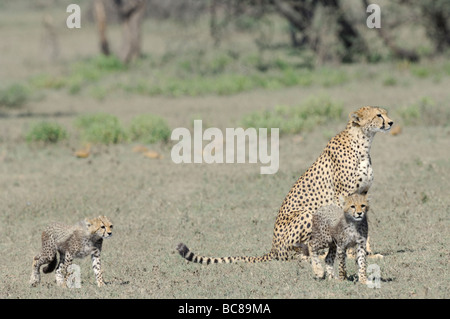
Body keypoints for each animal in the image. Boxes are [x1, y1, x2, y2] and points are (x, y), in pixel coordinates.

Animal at [178, 107, 392, 264]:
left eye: (385, 112)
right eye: (378, 114)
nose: (391, 122)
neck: (364, 142)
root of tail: (273, 248)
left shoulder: (363, 194)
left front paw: (368, 252)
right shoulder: (345, 196)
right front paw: (351, 254)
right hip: (307, 214)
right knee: (296, 254)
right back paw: (316, 257)